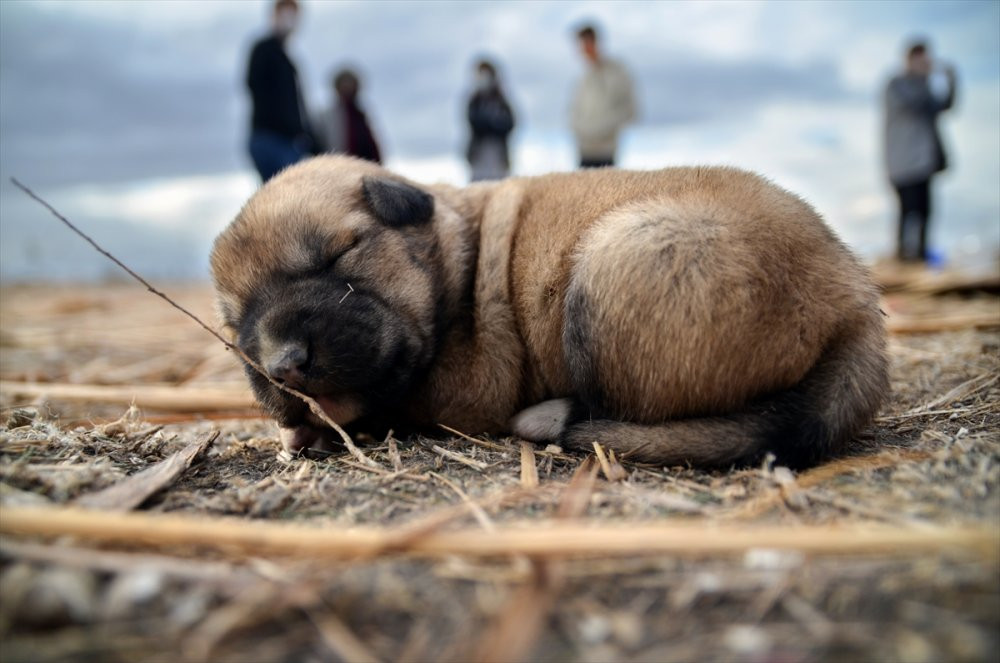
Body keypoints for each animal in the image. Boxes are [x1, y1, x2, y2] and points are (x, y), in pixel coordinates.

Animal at [213, 155, 892, 466]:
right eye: (235, 323)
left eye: (339, 254)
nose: (283, 366)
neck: (456, 253)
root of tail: (856, 299)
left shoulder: (467, 387)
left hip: (619, 265)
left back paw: (547, 418)